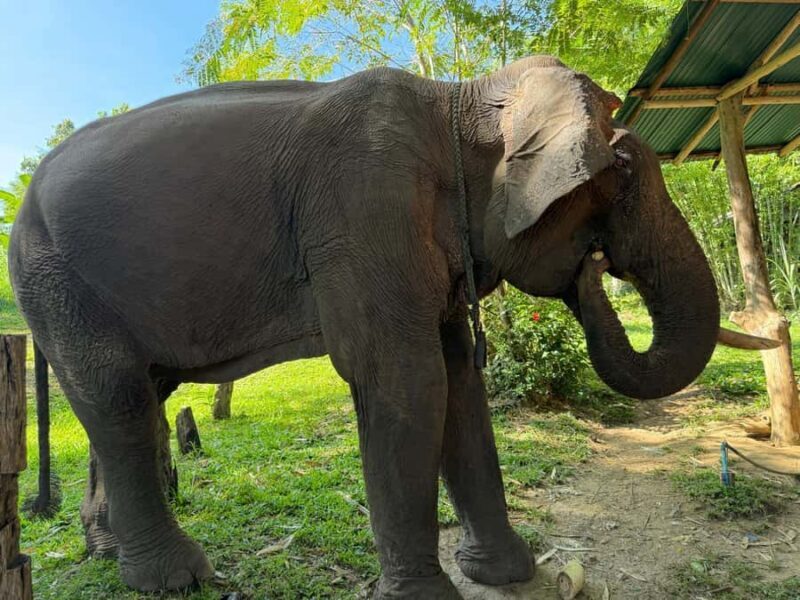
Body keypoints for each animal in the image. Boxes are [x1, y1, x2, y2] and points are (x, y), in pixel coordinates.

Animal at [8, 55, 771, 598]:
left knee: (137, 399)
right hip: (53, 279)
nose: (594, 267)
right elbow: (407, 380)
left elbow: (460, 383)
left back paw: (107, 552)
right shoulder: (366, 209)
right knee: (117, 396)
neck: (458, 97)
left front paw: (507, 574)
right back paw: (174, 580)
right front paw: (432, 596)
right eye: (620, 171)